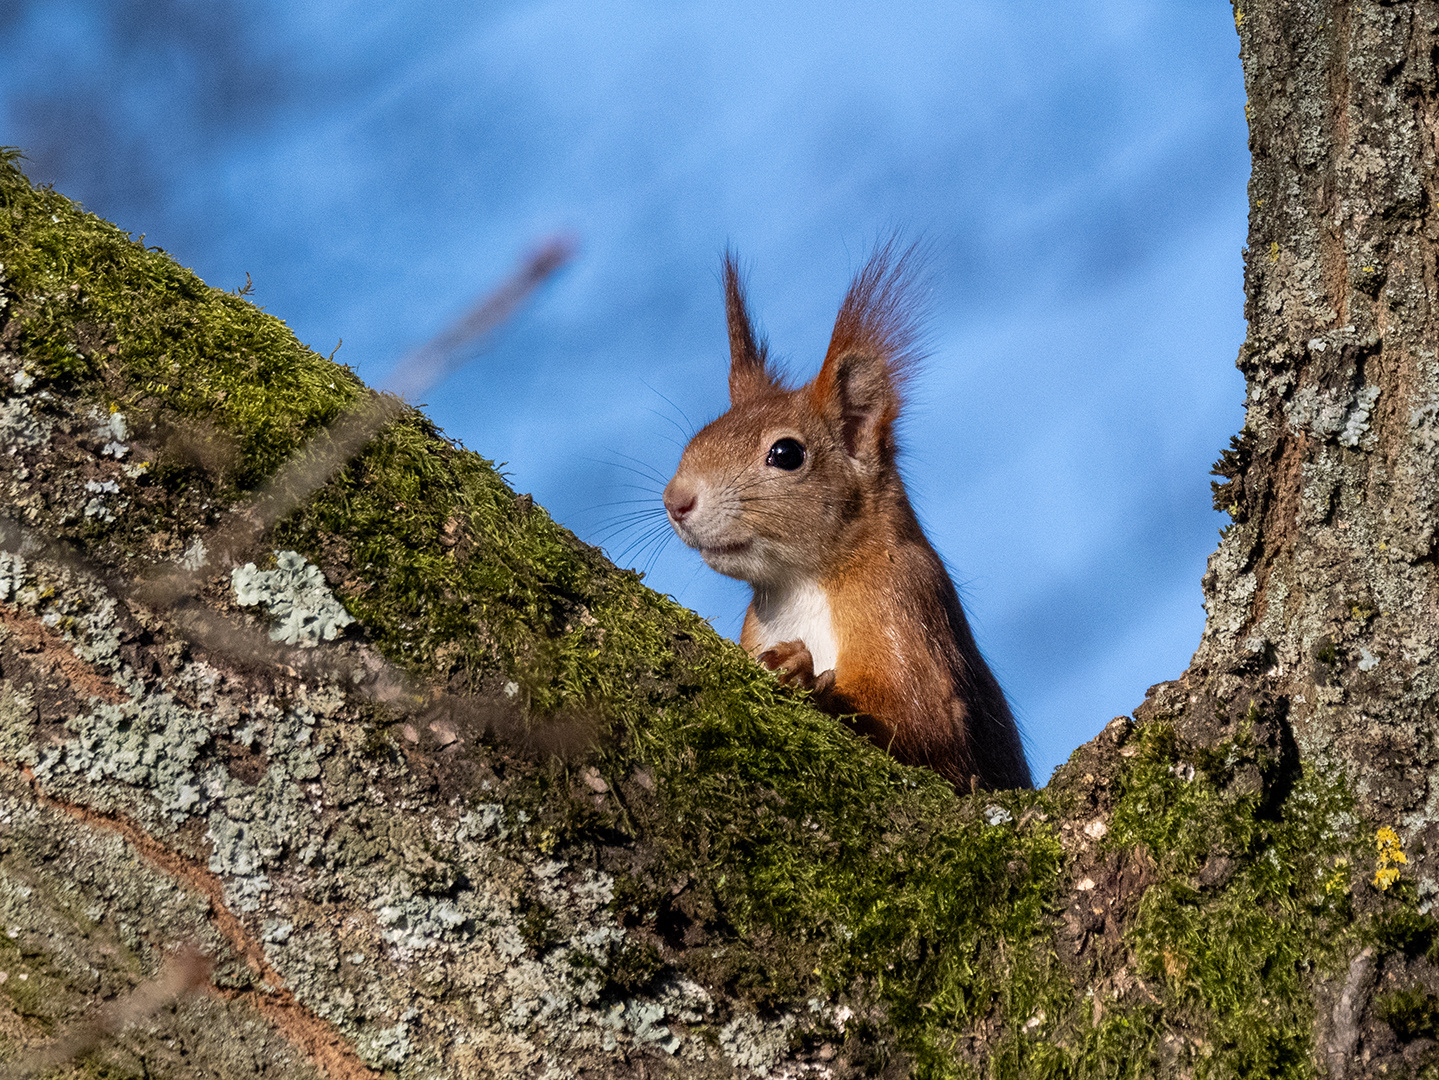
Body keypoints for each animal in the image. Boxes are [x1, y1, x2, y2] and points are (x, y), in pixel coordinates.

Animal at [661, 240, 1036, 788]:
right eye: (700, 434)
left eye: (787, 454)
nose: (675, 500)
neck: (801, 585)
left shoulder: (904, 601)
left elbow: (925, 726)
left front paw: (799, 671)